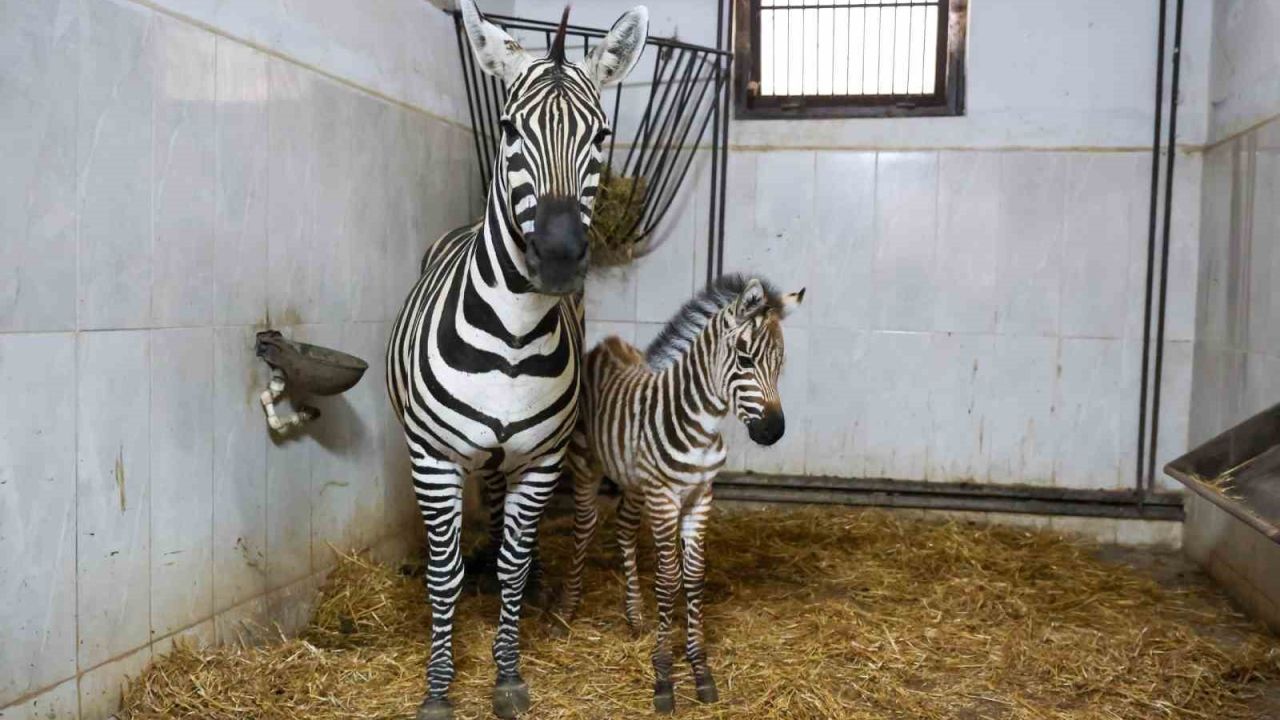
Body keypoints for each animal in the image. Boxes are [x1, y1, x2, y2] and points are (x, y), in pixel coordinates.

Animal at [385, 2, 648, 718]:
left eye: (602, 133)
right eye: (508, 129)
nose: (557, 256)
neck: (512, 338)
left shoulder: (541, 462)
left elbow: (515, 559)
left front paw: (506, 673)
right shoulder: (434, 459)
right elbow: (442, 573)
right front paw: (439, 687)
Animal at [554, 275, 804, 714]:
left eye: (780, 365)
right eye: (745, 360)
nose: (773, 431)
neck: (701, 426)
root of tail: (608, 344)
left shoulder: (700, 496)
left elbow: (693, 576)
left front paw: (699, 668)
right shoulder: (665, 499)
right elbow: (669, 580)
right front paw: (663, 674)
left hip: (635, 481)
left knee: (623, 528)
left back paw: (634, 615)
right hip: (587, 464)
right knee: (584, 528)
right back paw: (569, 609)